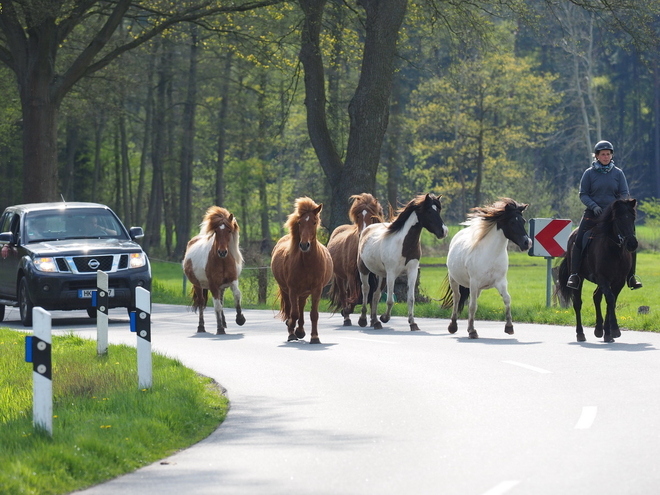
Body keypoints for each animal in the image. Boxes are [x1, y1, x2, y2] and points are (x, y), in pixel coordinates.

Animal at [182, 205, 246, 334]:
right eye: (216, 231)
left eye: (229, 231)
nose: (222, 252)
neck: (222, 261)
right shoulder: (213, 285)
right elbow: (216, 306)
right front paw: (219, 328)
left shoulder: (232, 280)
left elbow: (237, 296)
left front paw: (240, 318)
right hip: (198, 286)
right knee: (201, 303)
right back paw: (201, 327)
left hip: (221, 287)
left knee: (221, 301)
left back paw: (224, 323)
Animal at [272, 198, 336, 344]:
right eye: (300, 222)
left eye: (314, 222)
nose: (304, 245)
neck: (307, 263)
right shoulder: (292, 289)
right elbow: (293, 314)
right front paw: (291, 327)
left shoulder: (316, 289)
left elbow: (314, 314)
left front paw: (315, 337)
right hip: (287, 290)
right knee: (291, 309)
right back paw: (292, 332)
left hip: (304, 292)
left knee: (300, 307)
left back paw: (300, 331)